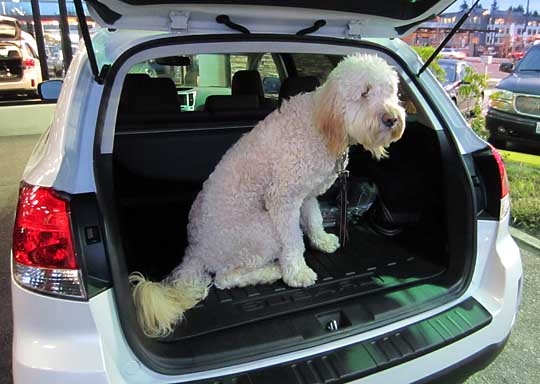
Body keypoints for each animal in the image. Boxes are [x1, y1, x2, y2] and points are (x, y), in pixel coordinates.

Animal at [130, 53, 404, 336]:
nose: (392, 119)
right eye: (364, 92)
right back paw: (273, 271)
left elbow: (314, 219)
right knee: (225, 278)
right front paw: (297, 273)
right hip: (261, 232)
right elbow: (294, 240)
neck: (320, 123)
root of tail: (195, 251)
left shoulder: (305, 194)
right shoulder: (283, 199)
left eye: (392, 92)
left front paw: (322, 240)